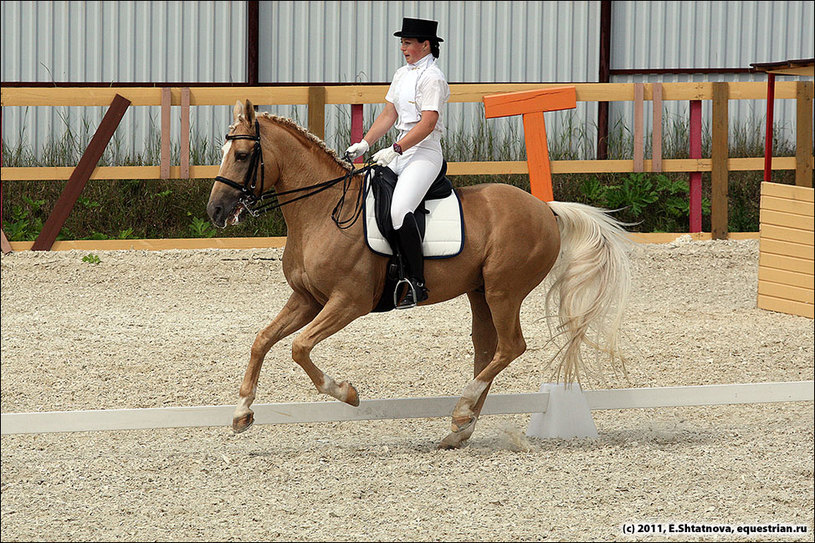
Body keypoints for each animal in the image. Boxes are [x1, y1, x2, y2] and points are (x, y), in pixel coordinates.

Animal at [209, 100, 632, 448]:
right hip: (480, 292)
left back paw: (461, 412)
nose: (215, 211)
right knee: (487, 350)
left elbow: (299, 347)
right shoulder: (307, 299)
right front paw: (242, 412)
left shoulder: (348, 302)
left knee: (510, 347)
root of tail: (545, 208)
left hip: (504, 291)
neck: (323, 211)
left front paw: (348, 393)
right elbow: (262, 340)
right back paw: (460, 429)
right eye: (224, 153)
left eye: (243, 155)